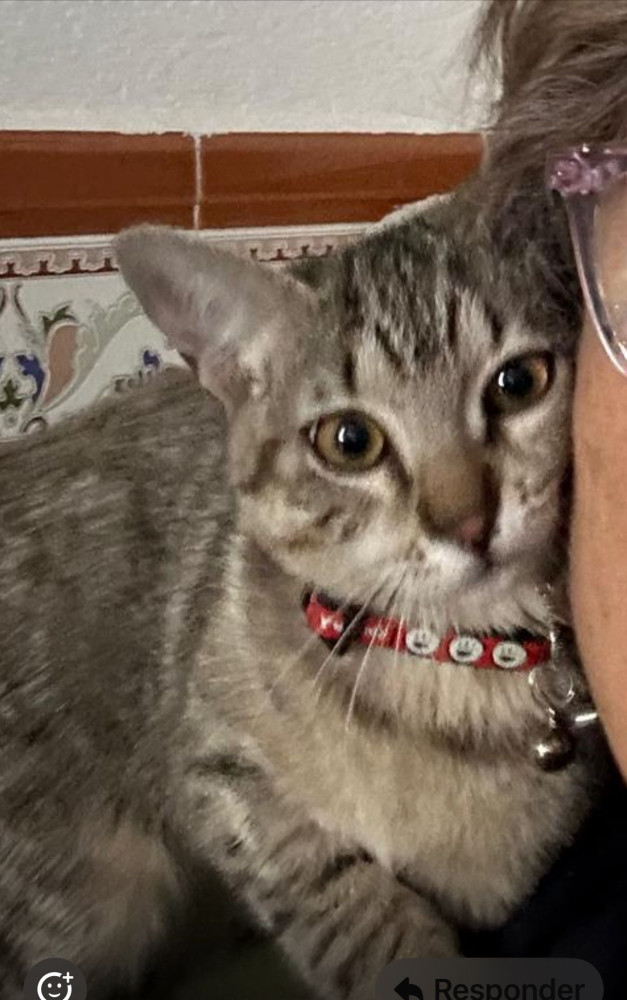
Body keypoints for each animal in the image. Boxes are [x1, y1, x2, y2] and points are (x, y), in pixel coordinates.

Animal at [0, 190, 603, 1000]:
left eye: (519, 383)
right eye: (349, 441)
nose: (467, 523)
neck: (450, 664)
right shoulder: (215, 765)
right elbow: (339, 900)